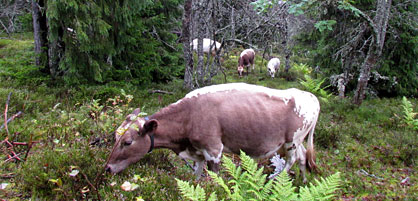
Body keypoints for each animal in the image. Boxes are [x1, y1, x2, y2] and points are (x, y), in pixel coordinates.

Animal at [105, 82, 320, 183]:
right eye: (115, 136)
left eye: (127, 142)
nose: (107, 168)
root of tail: (308, 95)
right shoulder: (198, 152)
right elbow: (196, 177)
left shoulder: (213, 150)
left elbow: (214, 179)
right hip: (296, 142)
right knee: (302, 157)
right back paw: (303, 181)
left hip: (292, 140)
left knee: (293, 159)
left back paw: (275, 178)